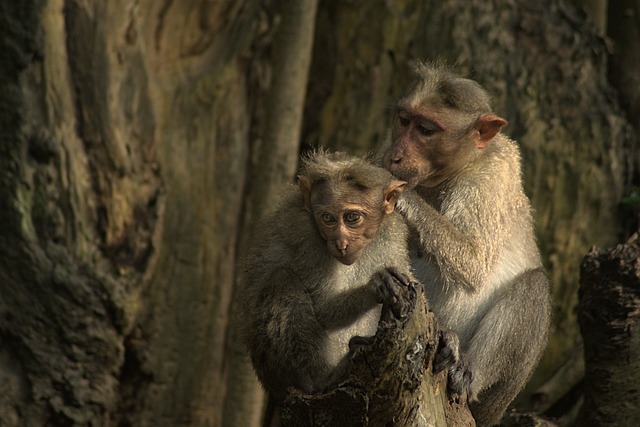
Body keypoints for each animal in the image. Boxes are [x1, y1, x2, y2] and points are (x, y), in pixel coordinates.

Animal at [238, 150, 412, 424]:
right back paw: (321, 379)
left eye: (352, 218)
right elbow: (321, 310)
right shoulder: (305, 234)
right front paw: (375, 287)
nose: (340, 242)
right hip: (276, 371)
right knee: (281, 280)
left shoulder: (394, 231)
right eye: (328, 218)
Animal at [380, 61, 552, 426]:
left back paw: (465, 366)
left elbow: (473, 263)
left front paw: (397, 191)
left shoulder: (492, 175)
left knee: (535, 285)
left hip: (494, 400)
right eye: (404, 120)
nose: (396, 155)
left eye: (426, 129)